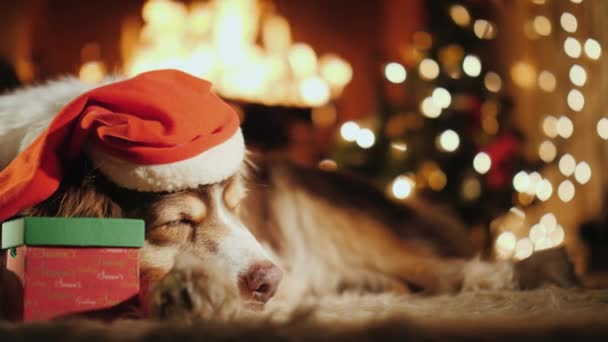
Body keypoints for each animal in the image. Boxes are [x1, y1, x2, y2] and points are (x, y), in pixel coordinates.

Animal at [0, 69, 580, 320]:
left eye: (237, 207)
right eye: (178, 223)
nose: (270, 281)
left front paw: (191, 295)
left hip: (339, 216)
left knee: (434, 264)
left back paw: (502, 275)